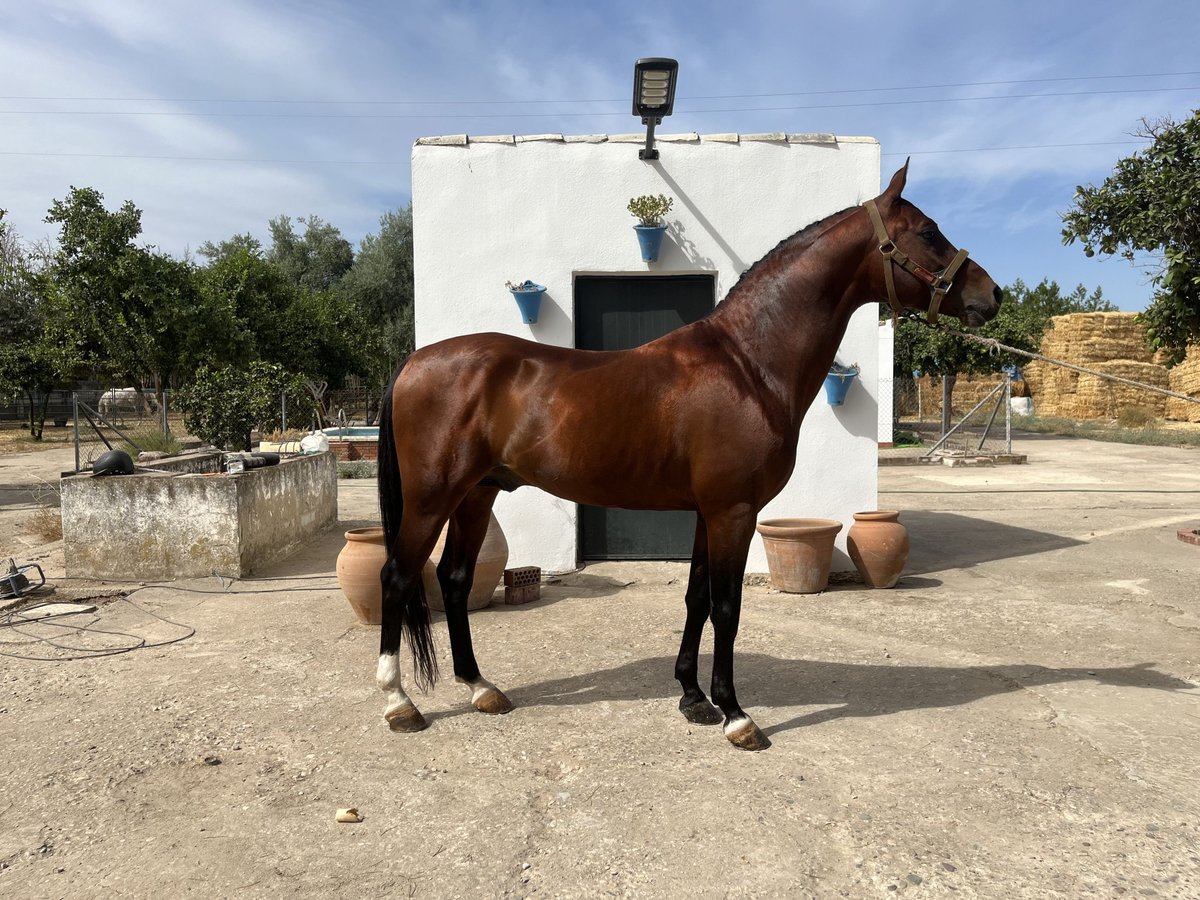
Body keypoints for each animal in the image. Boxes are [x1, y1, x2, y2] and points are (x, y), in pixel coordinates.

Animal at [374, 164, 1003, 753]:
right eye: (929, 231)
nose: (992, 295)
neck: (749, 364)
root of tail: (413, 362)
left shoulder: (709, 512)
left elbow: (696, 597)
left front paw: (693, 697)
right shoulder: (734, 511)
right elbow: (726, 607)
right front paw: (736, 715)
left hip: (476, 495)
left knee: (454, 579)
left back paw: (481, 688)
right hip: (432, 499)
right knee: (398, 576)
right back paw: (399, 703)